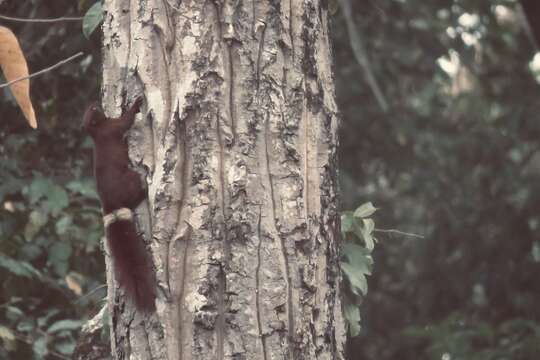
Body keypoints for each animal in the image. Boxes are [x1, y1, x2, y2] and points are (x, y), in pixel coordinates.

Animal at [83, 97, 156, 312]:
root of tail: (112, 205)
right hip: (130, 180)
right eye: (93, 109)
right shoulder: (113, 127)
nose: (95, 102)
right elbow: (126, 121)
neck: (97, 131)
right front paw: (136, 104)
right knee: (137, 193)